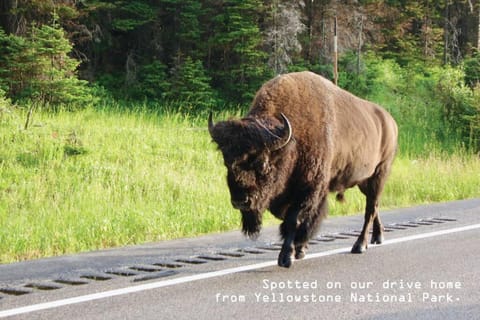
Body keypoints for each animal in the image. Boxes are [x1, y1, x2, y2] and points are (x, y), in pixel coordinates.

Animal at [207, 72, 398, 268]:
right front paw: (300, 249)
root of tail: (390, 121)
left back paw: (360, 245)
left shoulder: (308, 189)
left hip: (380, 173)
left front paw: (287, 256)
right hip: (364, 181)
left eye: (263, 163)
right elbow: (295, 219)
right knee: (374, 205)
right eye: (227, 162)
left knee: (370, 209)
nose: (240, 201)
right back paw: (378, 236)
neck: (293, 140)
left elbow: (295, 220)